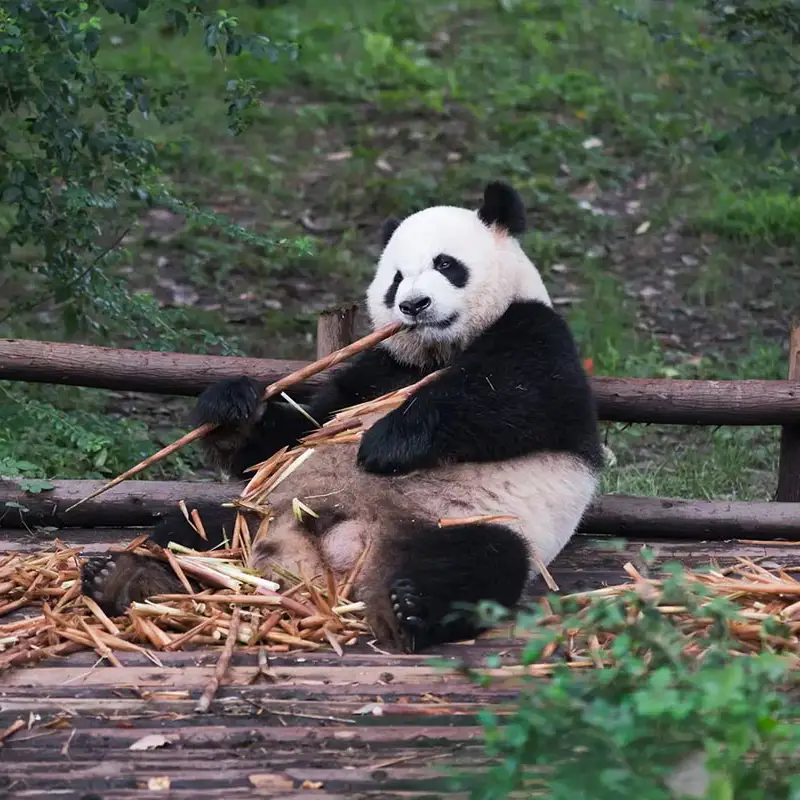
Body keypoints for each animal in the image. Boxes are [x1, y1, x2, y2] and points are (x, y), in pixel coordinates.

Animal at [83, 180, 608, 648]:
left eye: (445, 264)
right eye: (396, 278)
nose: (413, 305)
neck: (438, 351)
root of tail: (336, 562)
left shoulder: (538, 335)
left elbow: (517, 401)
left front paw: (387, 442)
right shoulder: (378, 368)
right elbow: (293, 436)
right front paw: (231, 405)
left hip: (463, 523)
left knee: (479, 565)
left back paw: (409, 608)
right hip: (259, 516)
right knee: (189, 530)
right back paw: (126, 577)